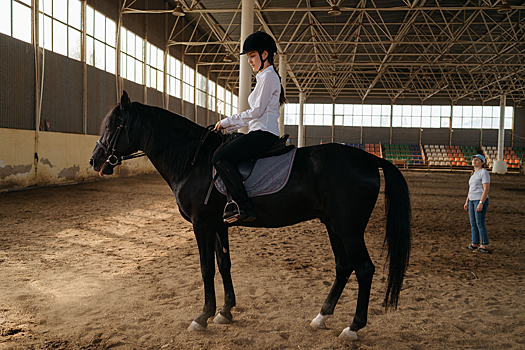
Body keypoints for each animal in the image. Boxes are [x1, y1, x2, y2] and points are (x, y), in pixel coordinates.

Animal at [89, 91, 410, 340]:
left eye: (114, 126)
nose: (95, 160)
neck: (194, 160)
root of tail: (369, 158)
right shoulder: (218, 225)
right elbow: (224, 265)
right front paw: (225, 311)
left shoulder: (202, 225)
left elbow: (206, 269)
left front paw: (202, 317)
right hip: (333, 225)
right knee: (344, 267)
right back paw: (322, 316)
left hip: (349, 228)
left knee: (364, 269)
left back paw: (353, 327)